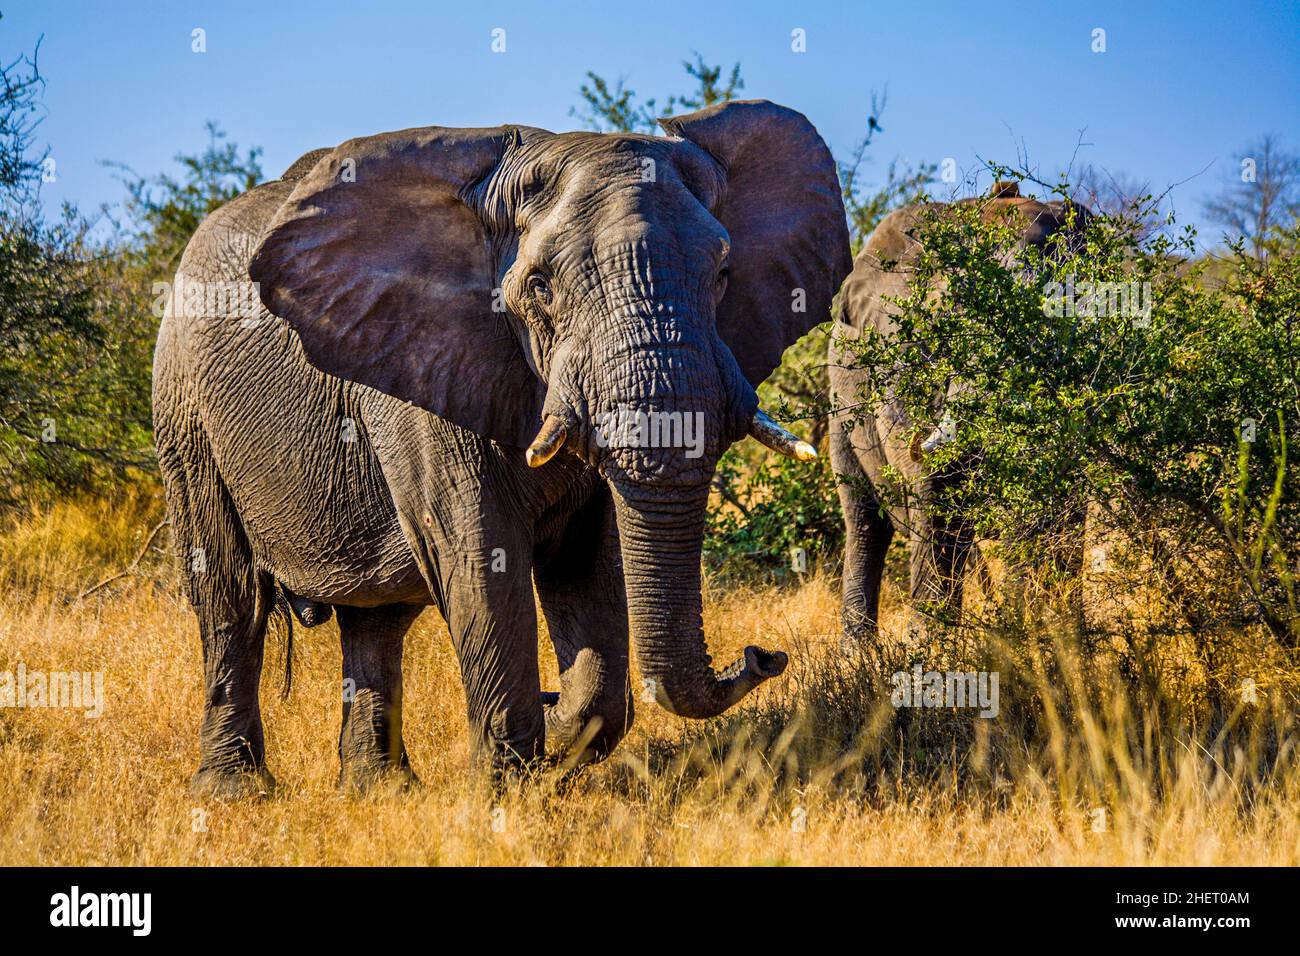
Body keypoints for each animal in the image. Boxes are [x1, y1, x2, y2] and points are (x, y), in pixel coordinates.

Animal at [154, 98, 852, 801]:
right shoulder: (421, 380)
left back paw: (379, 792)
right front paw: (504, 795)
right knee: (229, 595)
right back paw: (232, 794)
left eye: (724, 275)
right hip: (184, 412)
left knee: (375, 620)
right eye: (541, 287)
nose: (764, 655)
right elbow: (481, 556)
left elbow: (590, 557)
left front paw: (564, 734)